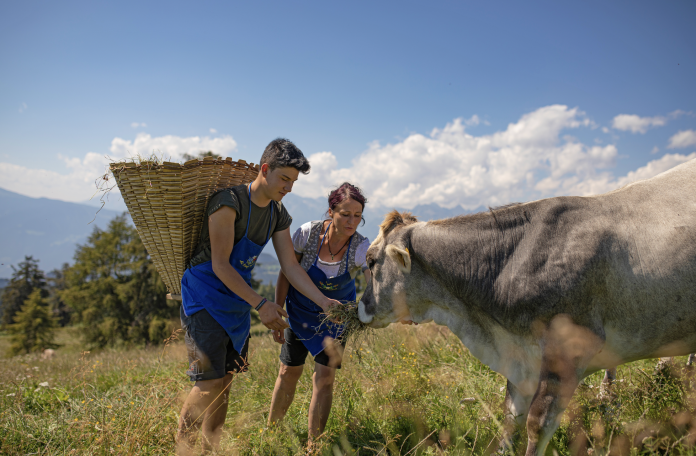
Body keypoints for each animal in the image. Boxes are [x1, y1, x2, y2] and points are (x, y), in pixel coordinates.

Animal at [358, 159, 696, 455]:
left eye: (371, 261)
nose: (361, 306)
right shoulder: (522, 359)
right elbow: (511, 419)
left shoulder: (568, 352)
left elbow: (537, 424)